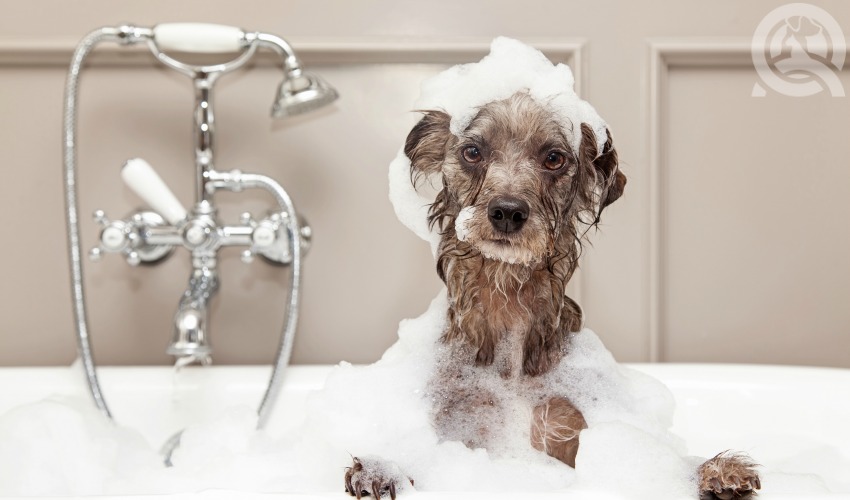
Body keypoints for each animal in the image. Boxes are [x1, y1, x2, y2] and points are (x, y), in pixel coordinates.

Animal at [344, 91, 760, 500]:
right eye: (472, 151)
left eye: (554, 158)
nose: (507, 211)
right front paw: (385, 469)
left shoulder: (567, 426)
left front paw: (708, 471)